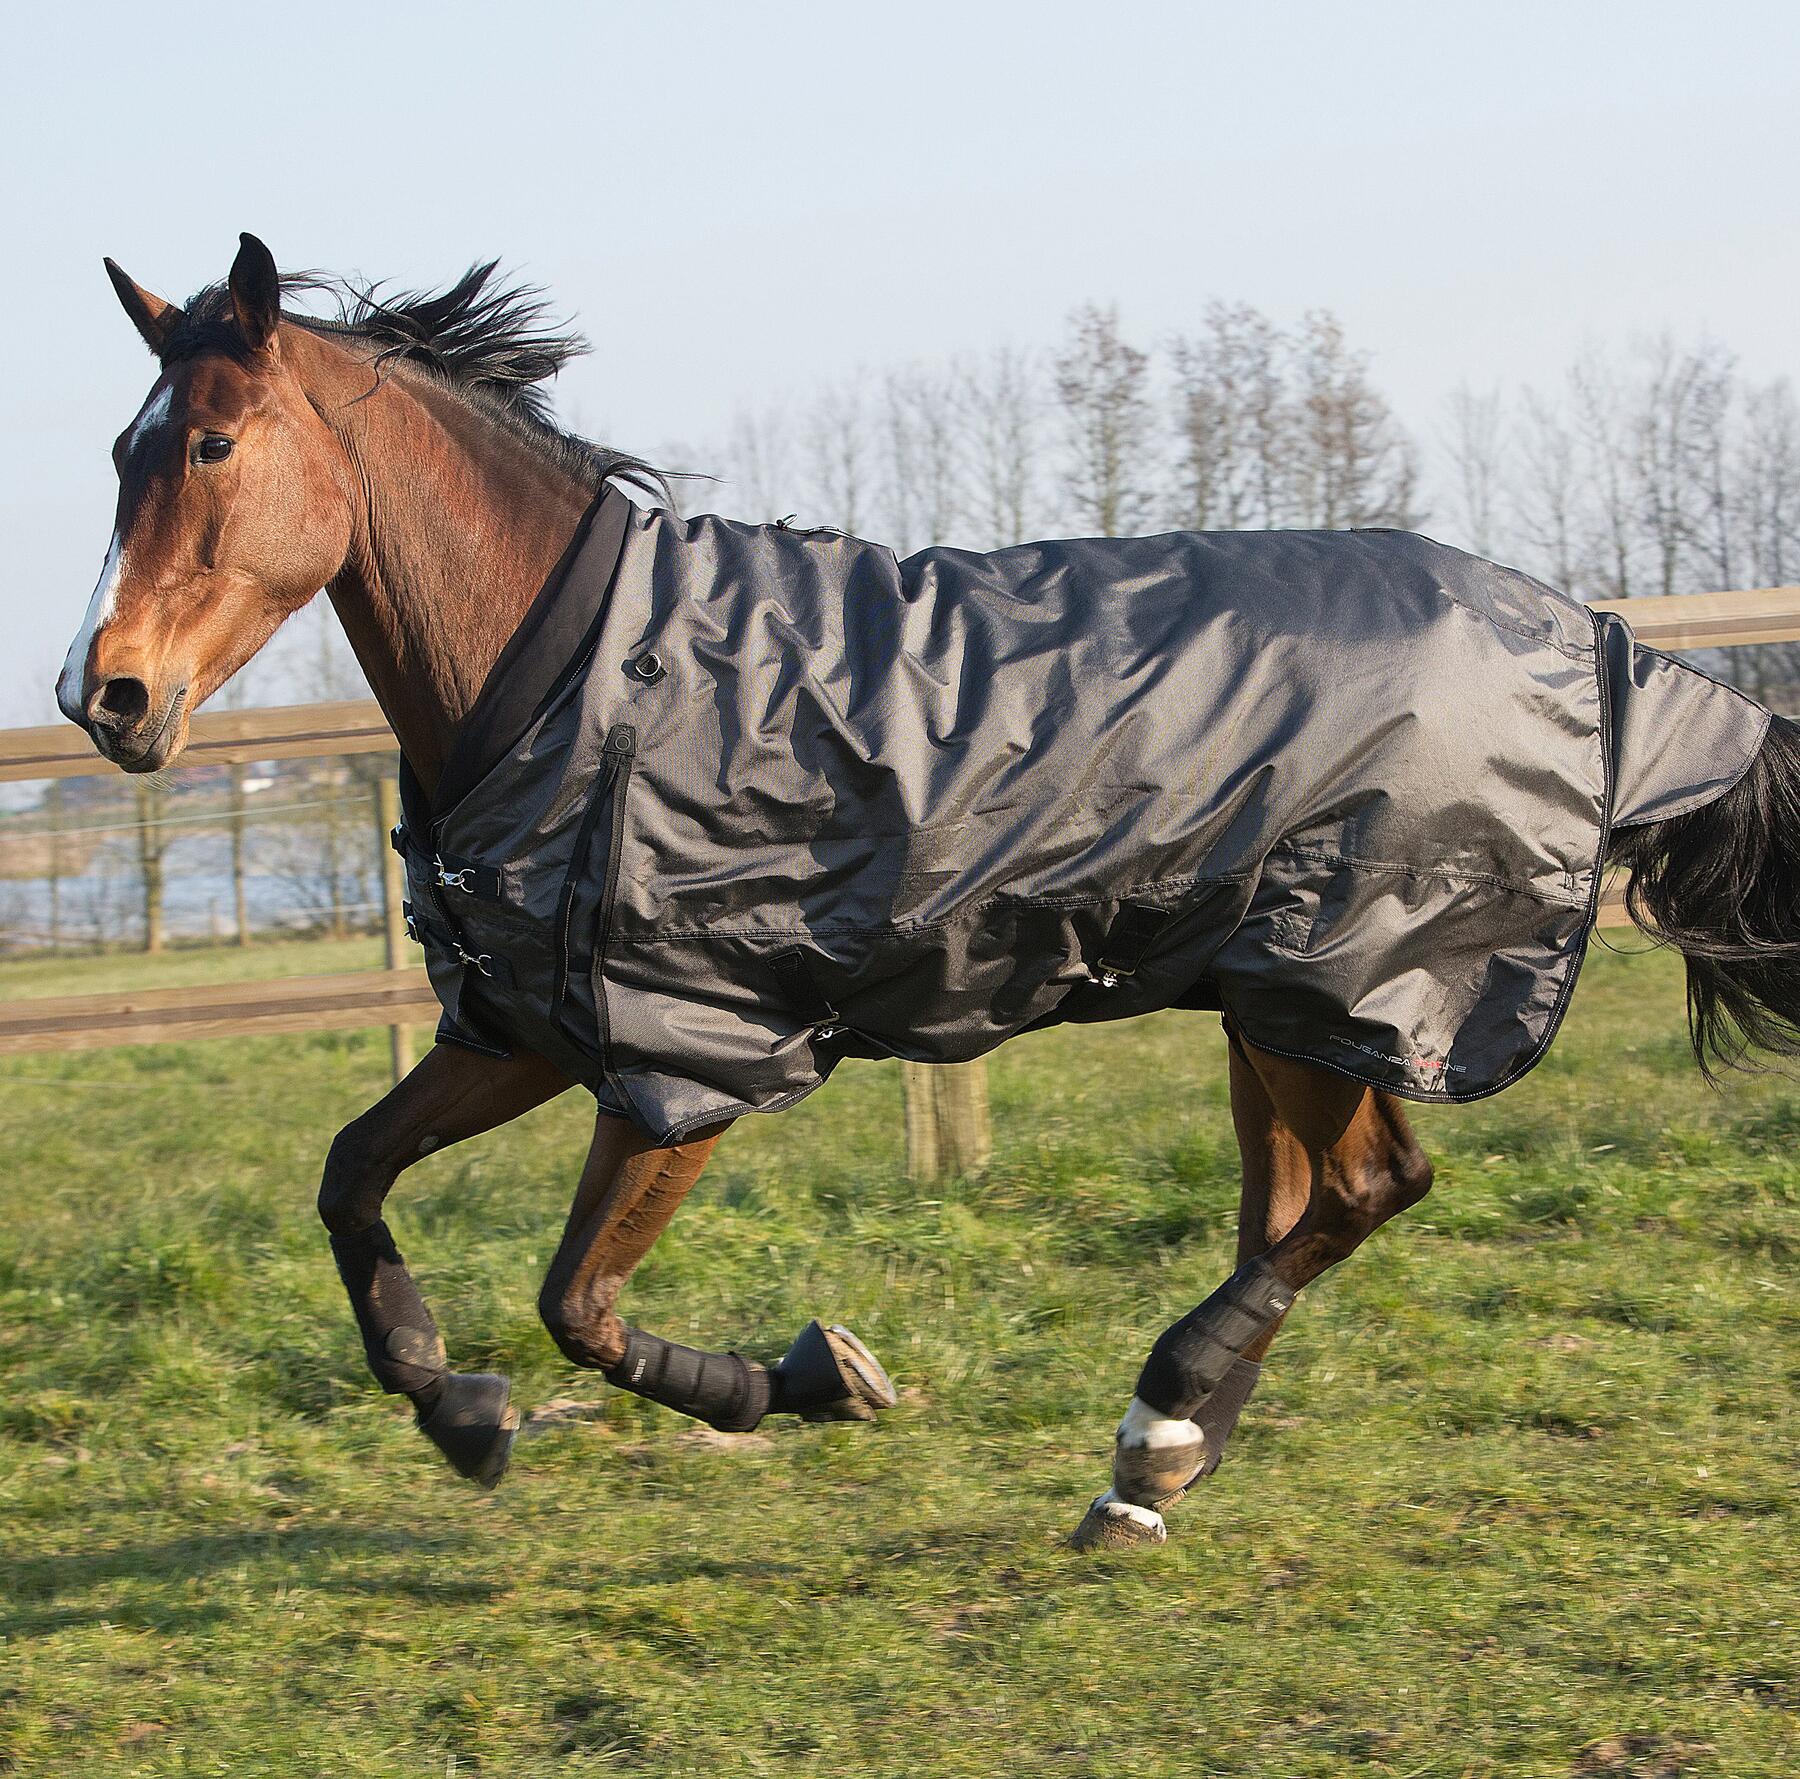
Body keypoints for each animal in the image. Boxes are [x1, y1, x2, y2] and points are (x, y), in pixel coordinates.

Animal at [57, 234, 1800, 1551]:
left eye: (209, 443)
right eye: (125, 450)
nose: (106, 696)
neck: (578, 681)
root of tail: (1597, 638)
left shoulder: (690, 1053)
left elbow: (579, 1304)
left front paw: (814, 1375)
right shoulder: (535, 1022)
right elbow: (352, 1176)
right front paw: (460, 1411)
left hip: (1347, 980)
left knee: (1367, 1188)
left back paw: (1158, 1423)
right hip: (1277, 1001)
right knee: (1310, 1201)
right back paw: (1157, 1469)